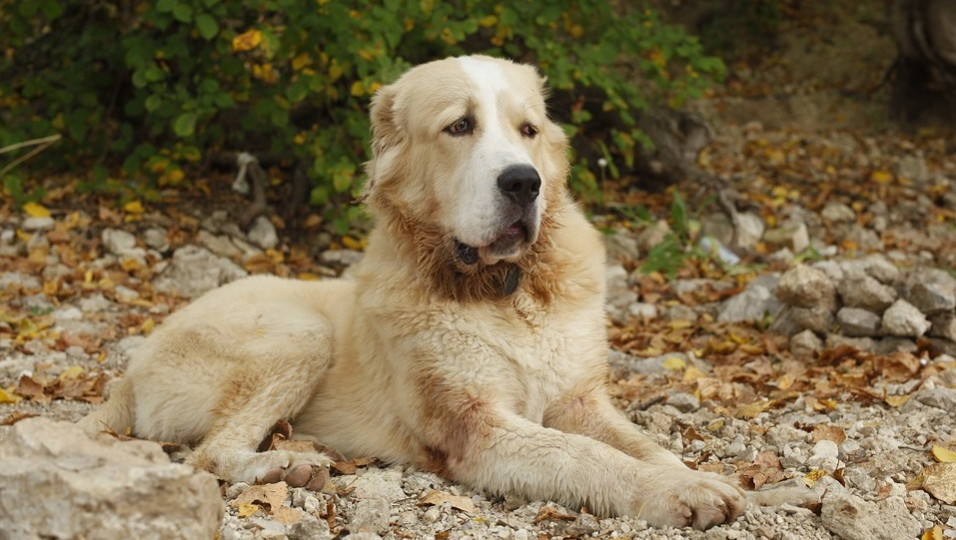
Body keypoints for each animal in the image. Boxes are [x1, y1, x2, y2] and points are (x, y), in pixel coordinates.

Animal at [82, 54, 748, 528]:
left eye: (528, 130)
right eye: (460, 126)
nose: (524, 182)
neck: (505, 291)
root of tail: (130, 371)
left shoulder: (581, 401)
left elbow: (641, 445)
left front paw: (697, 477)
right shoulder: (476, 427)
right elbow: (585, 456)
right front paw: (677, 493)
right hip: (299, 334)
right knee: (208, 456)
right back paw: (286, 465)